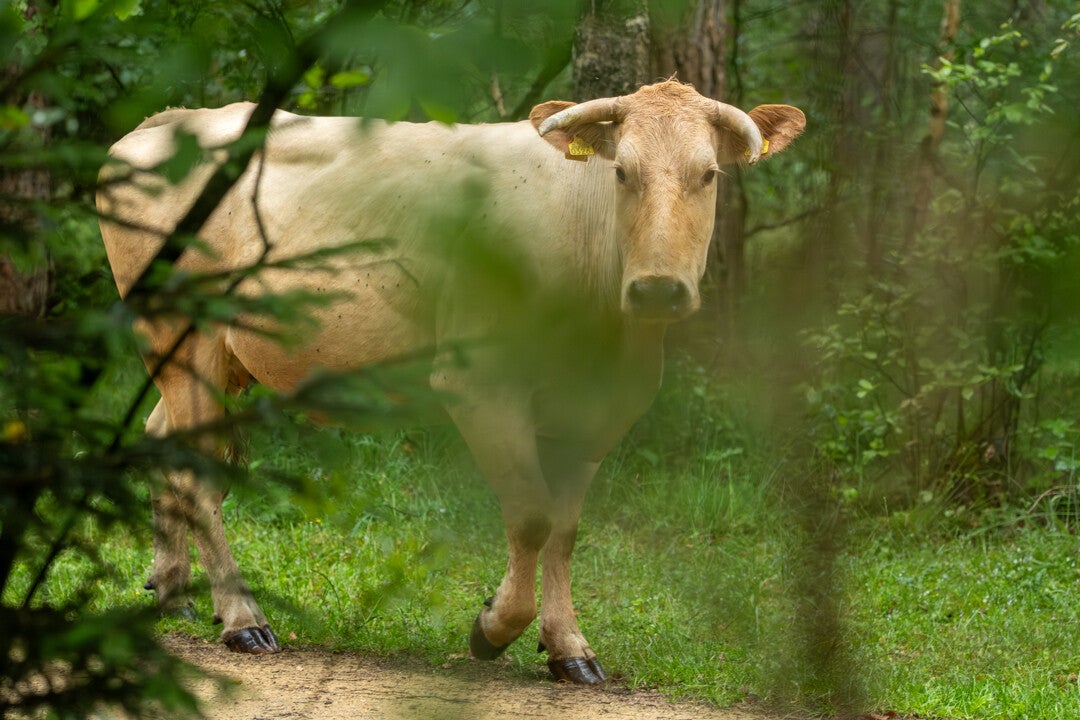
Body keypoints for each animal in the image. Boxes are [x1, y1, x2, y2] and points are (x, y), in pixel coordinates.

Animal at [97, 80, 804, 684]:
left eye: (708, 174)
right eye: (621, 172)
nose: (658, 289)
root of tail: (170, 120)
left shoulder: (601, 409)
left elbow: (566, 530)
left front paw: (570, 649)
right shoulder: (482, 386)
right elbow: (530, 517)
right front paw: (493, 628)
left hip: (220, 361)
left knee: (164, 441)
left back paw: (174, 592)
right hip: (183, 336)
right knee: (197, 473)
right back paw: (243, 620)